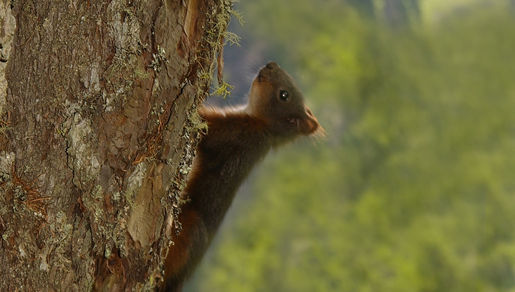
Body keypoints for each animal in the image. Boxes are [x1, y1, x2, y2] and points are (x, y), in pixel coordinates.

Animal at [161, 61, 322, 290]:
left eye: (284, 95)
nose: (271, 65)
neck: (263, 127)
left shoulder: (232, 133)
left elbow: (203, 124)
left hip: (190, 231)